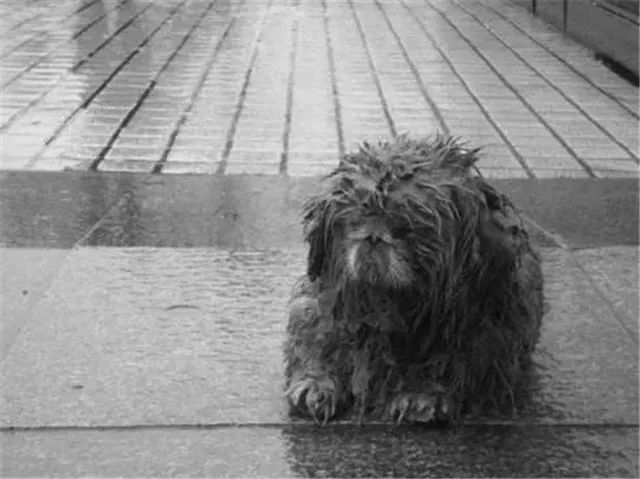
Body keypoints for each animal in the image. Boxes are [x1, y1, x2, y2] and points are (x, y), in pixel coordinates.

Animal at [284, 135, 544, 424]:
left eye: (407, 227)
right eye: (356, 218)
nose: (373, 237)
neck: (388, 306)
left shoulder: (483, 337)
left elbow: (447, 364)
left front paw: (420, 395)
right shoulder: (315, 311)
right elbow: (316, 343)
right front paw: (316, 384)